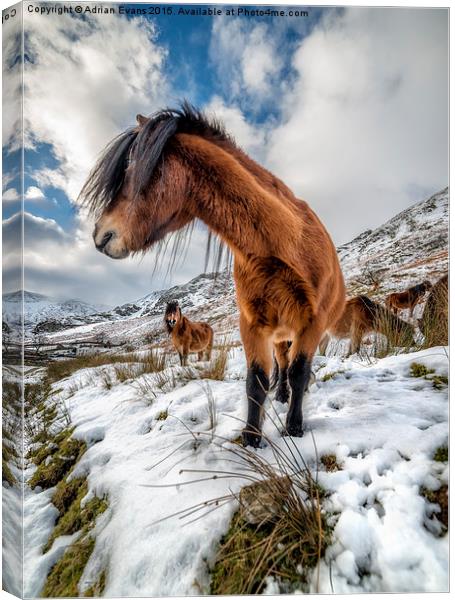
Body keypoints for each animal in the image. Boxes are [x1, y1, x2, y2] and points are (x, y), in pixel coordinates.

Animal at [82, 102, 346, 446]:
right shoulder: (252, 325)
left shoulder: (312, 323)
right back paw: (281, 394)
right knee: (281, 362)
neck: (284, 244)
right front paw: (251, 436)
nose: (101, 236)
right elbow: (256, 380)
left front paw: (294, 428)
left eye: (133, 169)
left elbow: (299, 373)